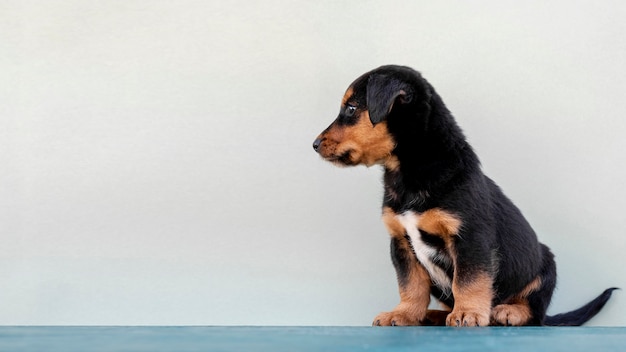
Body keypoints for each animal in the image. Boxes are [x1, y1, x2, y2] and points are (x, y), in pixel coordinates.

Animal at [312, 64, 616, 326]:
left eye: (351, 108)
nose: (314, 144)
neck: (408, 171)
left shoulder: (470, 238)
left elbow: (468, 281)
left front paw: (468, 313)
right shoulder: (400, 242)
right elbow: (411, 285)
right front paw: (404, 314)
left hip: (545, 266)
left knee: (535, 312)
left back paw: (506, 312)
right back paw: (434, 315)